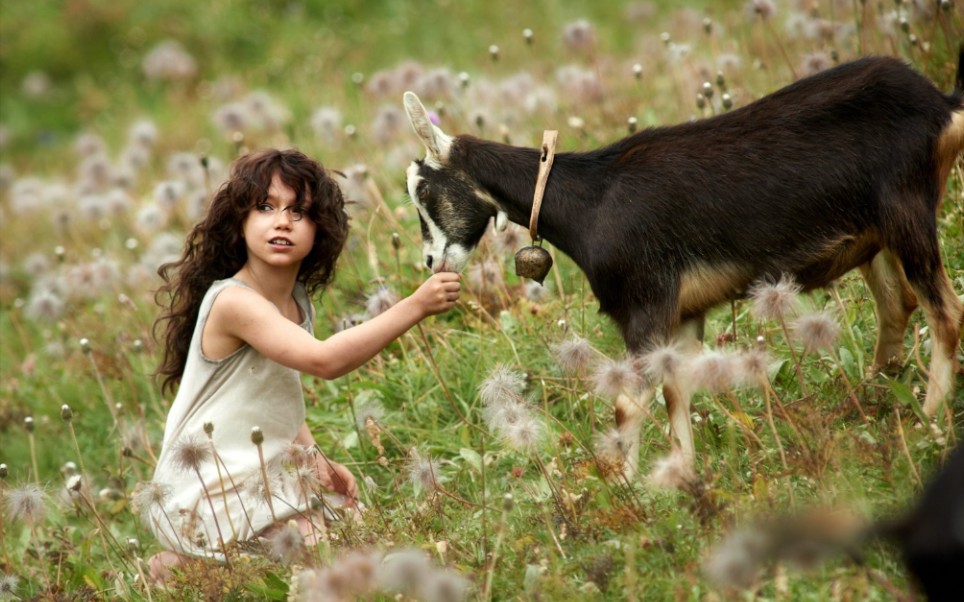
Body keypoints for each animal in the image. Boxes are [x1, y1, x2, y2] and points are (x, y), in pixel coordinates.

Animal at [402, 54, 964, 474]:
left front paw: (627, 495)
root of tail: (940, 104)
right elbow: (677, 395)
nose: (430, 261)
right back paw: (873, 407)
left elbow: (627, 403)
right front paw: (681, 482)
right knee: (898, 307)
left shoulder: (645, 305)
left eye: (423, 190)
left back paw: (926, 424)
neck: (591, 201)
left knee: (946, 314)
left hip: (907, 216)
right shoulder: (684, 314)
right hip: (878, 238)